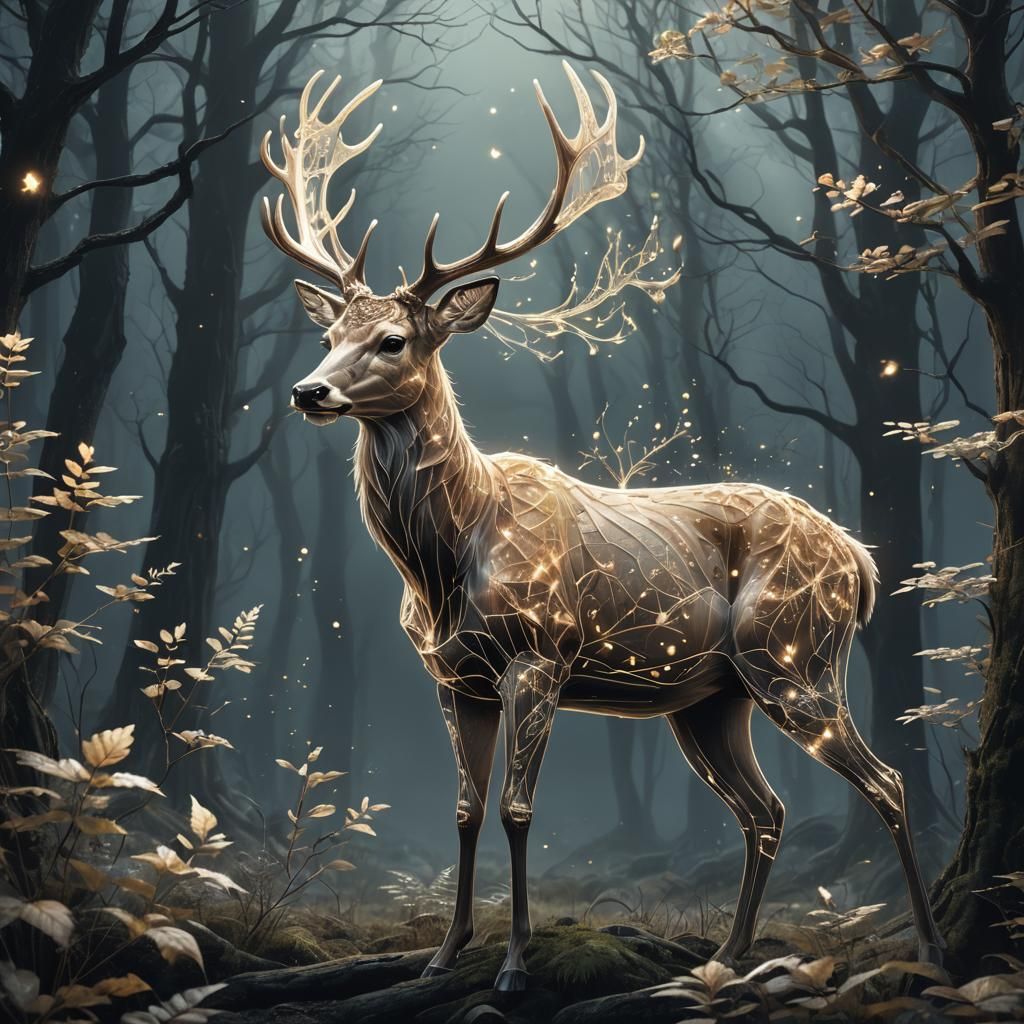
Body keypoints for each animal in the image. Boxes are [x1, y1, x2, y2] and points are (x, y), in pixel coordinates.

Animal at [260, 64, 944, 992]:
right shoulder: (453, 677)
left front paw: (514, 963)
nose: (309, 390)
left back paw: (933, 951)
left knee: (885, 783)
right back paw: (724, 956)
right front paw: (442, 956)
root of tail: (863, 563)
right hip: (711, 699)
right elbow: (465, 809)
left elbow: (518, 809)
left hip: (794, 654)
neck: (444, 563)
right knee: (765, 809)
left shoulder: (541, 652)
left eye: (395, 339)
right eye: (330, 331)